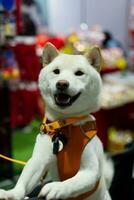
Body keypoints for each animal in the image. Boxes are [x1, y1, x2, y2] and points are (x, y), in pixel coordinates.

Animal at [0, 43, 111, 199]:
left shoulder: (90, 171)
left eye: (79, 73)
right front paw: (12, 194)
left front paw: (57, 188)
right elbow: (23, 181)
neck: (64, 126)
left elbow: (71, 182)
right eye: (56, 71)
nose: (62, 84)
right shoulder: (38, 160)